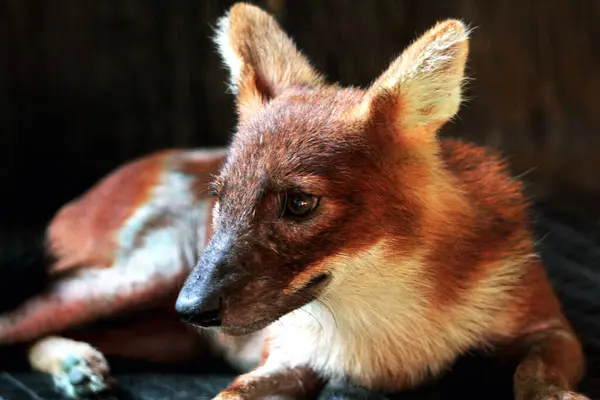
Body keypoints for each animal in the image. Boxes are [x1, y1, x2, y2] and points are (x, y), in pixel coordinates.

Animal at [172, 3, 584, 400]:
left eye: (300, 203)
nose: (190, 309)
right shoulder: (290, 354)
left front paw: (555, 393)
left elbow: (533, 371)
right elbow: (232, 391)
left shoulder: (549, 326)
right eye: (220, 197)